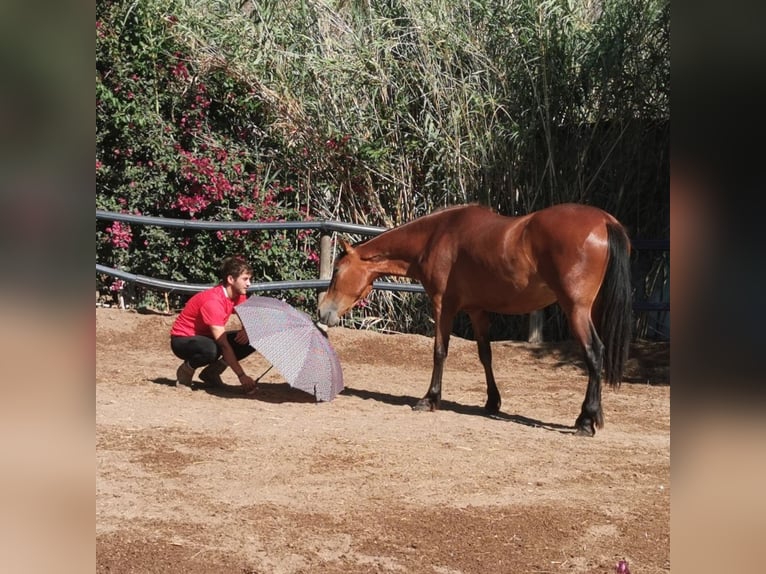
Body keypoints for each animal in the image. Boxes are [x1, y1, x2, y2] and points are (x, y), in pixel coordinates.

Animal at [316, 202, 632, 436]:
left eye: (337, 271)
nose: (322, 311)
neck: (437, 235)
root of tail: (605, 221)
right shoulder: (477, 310)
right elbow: (485, 355)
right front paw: (492, 401)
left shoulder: (443, 305)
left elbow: (440, 351)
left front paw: (430, 399)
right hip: (592, 309)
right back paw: (593, 416)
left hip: (576, 309)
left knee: (594, 353)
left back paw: (586, 422)